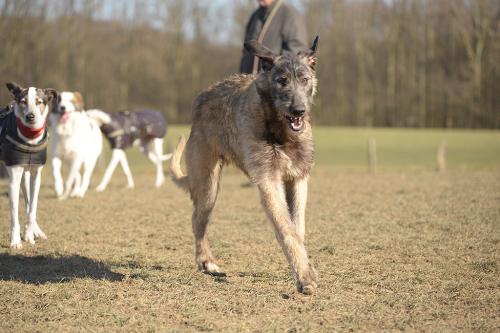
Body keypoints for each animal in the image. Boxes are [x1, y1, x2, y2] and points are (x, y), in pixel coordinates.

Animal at [0, 82, 58, 248]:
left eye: (39, 101)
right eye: (23, 101)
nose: (30, 116)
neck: (29, 138)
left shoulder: (36, 174)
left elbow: (32, 208)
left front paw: (28, 235)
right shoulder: (13, 178)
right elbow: (14, 214)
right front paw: (15, 241)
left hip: (25, 176)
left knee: (27, 202)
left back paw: (36, 232)